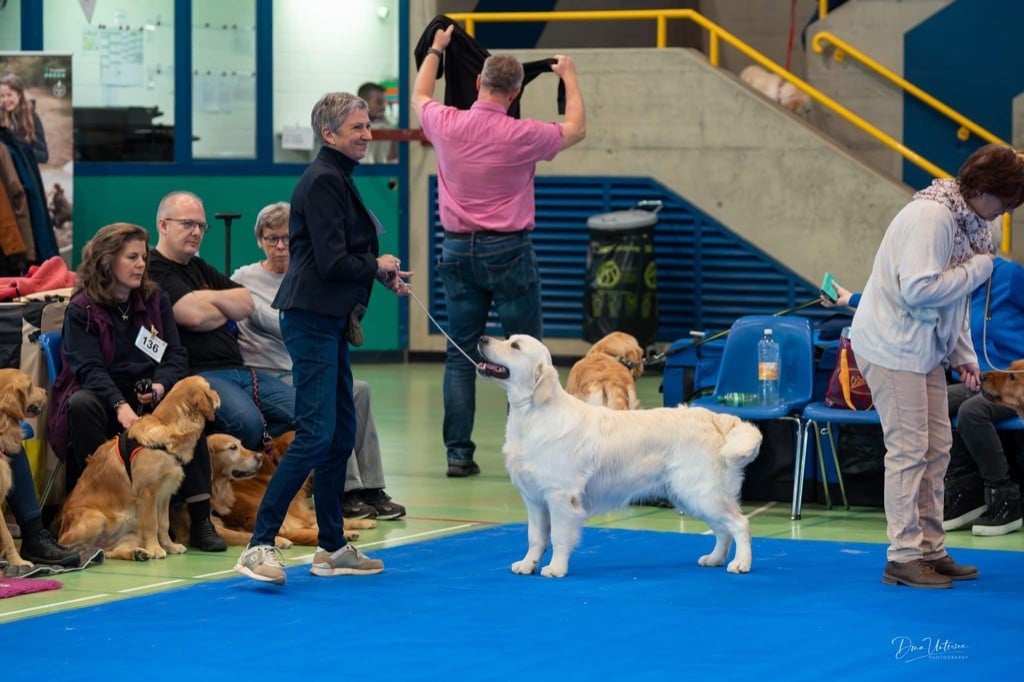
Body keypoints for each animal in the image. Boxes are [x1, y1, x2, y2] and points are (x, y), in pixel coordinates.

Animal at [58, 374, 220, 561]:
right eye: (209, 387)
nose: (218, 395)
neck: (167, 427)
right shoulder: (147, 492)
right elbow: (151, 523)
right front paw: (156, 549)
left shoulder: (164, 494)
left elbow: (164, 524)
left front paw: (170, 546)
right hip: (96, 519)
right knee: (72, 545)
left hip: (130, 533)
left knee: (107, 551)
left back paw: (137, 553)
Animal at [477, 333, 761, 573]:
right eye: (508, 339)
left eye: (515, 346)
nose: (482, 339)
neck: (532, 414)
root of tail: (715, 418)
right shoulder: (534, 499)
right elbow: (535, 537)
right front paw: (527, 565)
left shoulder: (560, 496)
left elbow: (558, 537)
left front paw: (556, 569)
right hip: (690, 495)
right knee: (723, 530)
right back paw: (714, 559)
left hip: (701, 492)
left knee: (740, 524)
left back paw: (741, 563)